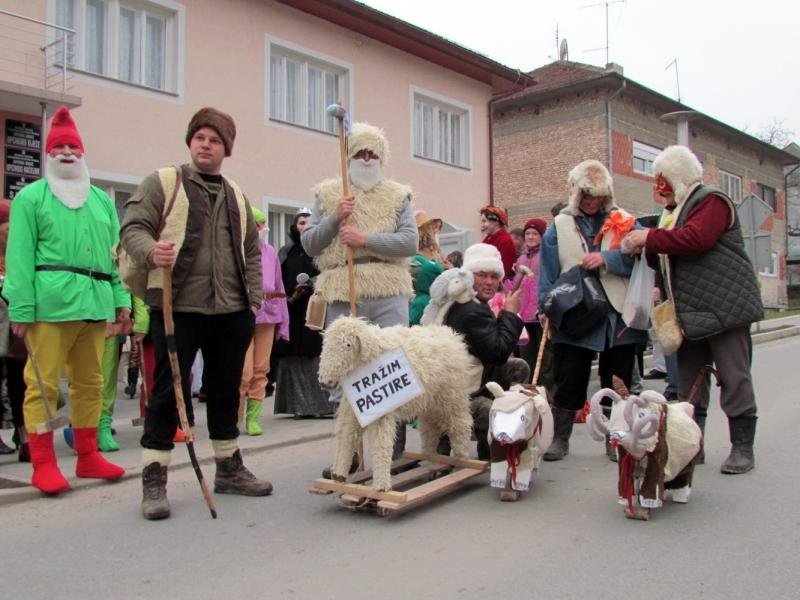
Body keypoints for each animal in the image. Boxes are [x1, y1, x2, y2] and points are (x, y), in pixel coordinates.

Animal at [316, 316, 472, 490]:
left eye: (347, 345)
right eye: (325, 344)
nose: (324, 382)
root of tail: (452, 335)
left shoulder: (381, 412)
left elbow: (380, 445)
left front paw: (381, 486)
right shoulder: (353, 410)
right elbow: (346, 437)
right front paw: (338, 477)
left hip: (453, 397)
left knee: (460, 427)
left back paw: (462, 463)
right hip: (430, 403)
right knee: (429, 430)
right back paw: (430, 460)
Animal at [584, 380, 704, 520]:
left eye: (641, 415)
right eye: (612, 414)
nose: (615, 435)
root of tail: (687, 407)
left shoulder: (657, 456)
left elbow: (651, 481)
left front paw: (646, 506)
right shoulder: (625, 458)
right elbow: (630, 483)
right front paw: (630, 506)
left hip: (690, 462)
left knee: (684, 476)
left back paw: (681, 497)